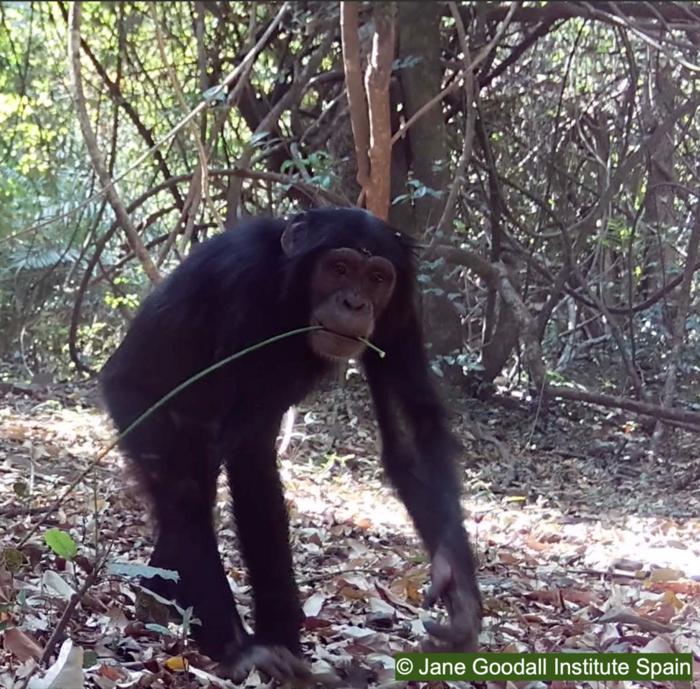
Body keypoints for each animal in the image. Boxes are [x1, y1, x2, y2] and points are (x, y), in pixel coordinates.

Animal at [100, 207, 482, 680]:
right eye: (339, 269)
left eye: (377, 277)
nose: (354, 304)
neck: (292, 293)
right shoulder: (242, 288)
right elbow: (250, 453)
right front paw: (268, 644)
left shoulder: (400, 314)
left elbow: (410, 435)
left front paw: (458, 590)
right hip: (132, 401)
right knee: (185, 494)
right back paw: (231, 645)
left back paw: (163, 593)